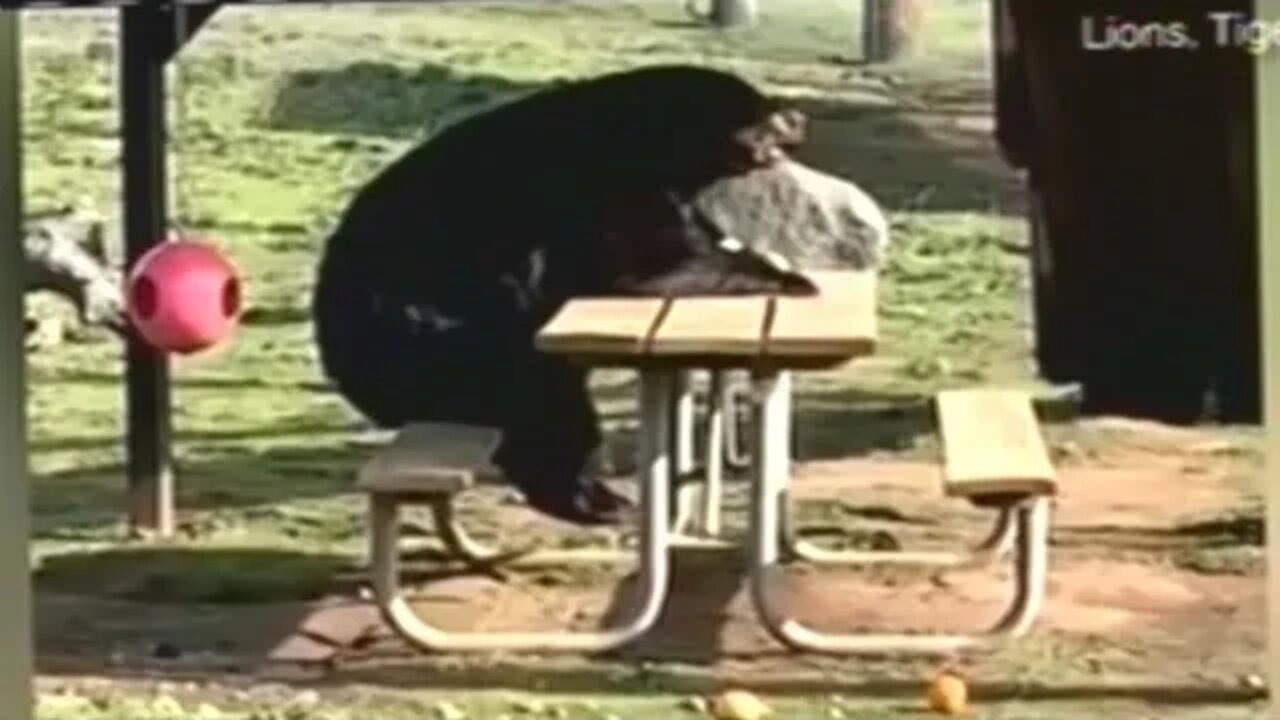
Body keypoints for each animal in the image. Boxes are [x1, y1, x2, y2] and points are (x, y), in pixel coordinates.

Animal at [316, 63, 819, 520]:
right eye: (762, 110)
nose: (798, 116)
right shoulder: (613, 187)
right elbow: (648, 265)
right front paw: (790, 278)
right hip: (444, 336)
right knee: (545, 403)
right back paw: (593, 500)